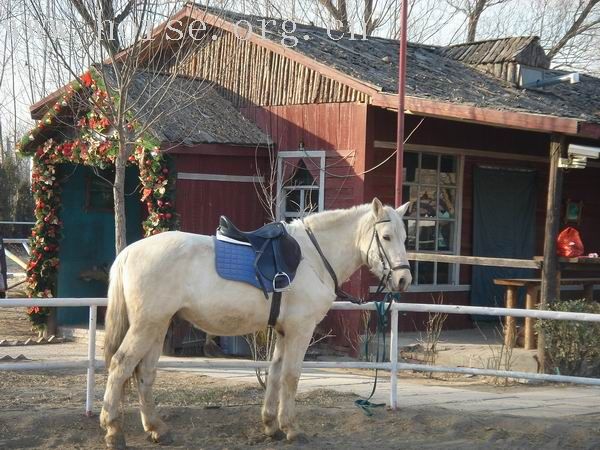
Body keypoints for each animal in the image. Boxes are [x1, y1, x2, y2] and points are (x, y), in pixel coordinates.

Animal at [101, 200, 414, 446]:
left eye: (405, 237)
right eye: (386, 236)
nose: (403, 280)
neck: (313, 257)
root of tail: (128, 252)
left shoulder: (284, 331)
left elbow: (274, 374)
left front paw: (271, 425)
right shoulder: (301, 331)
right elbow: (291, 376)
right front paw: (291, 429)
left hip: (158, 326)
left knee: (145, 373)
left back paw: (157, 429)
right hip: (146, 326)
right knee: (120, 365)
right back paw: (113, 430)